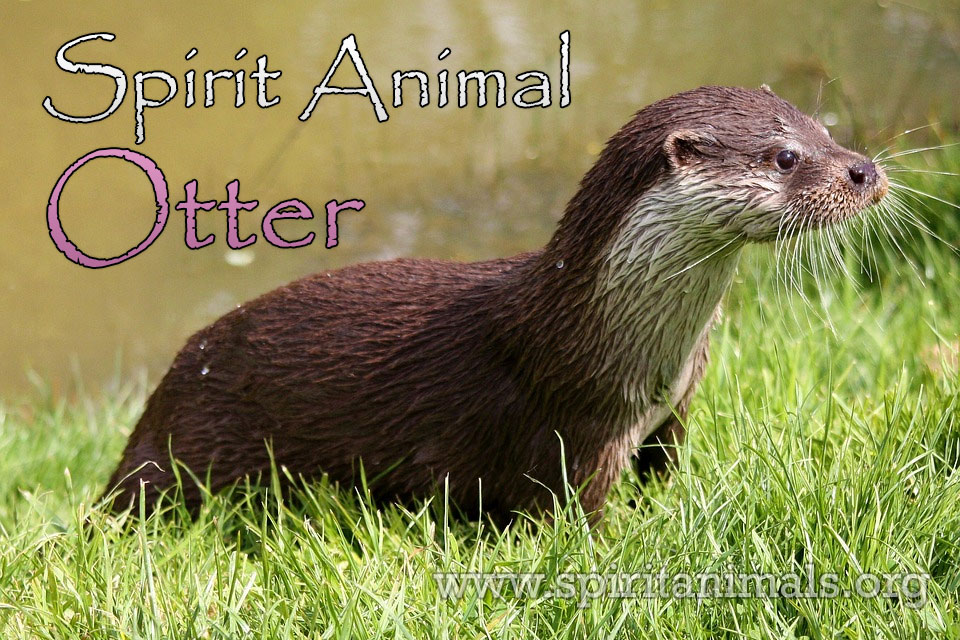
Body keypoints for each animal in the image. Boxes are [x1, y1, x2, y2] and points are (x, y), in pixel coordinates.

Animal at [102, 86, 888, 521]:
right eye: (785, 157)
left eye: (826, 128)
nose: (866, 170)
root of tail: (157, 402)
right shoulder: (575, 436)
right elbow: (574, 519)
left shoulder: (673, 414)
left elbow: (668, 471)